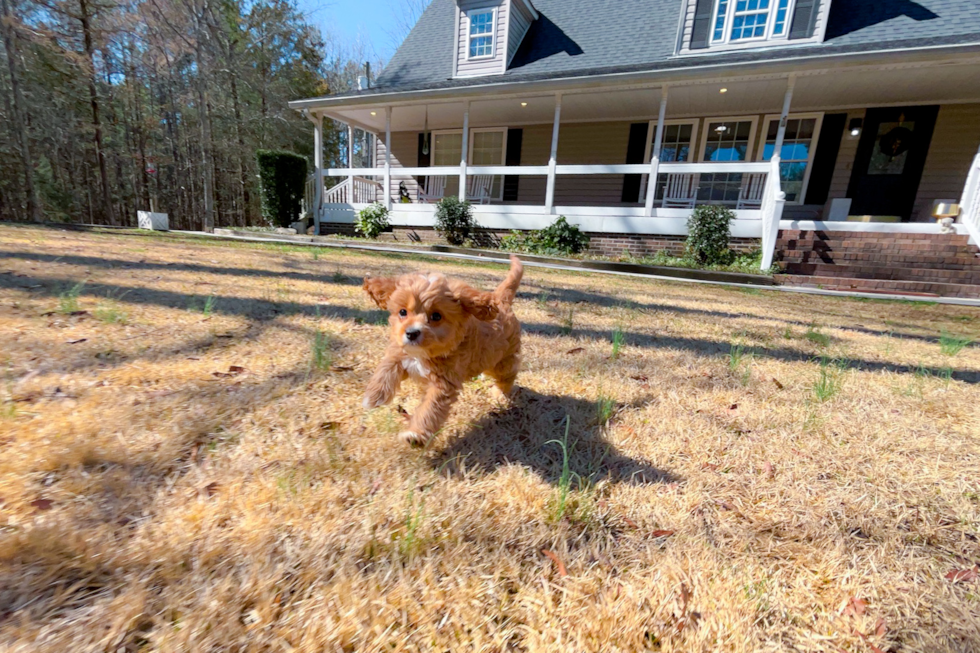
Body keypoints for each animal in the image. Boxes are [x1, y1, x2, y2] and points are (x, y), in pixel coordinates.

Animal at [362, 258, 528, 446]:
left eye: (436, 316)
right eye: (403, 312)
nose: (411, 333)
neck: (424, 354)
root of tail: (502, 301)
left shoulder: (442, 384)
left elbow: (430, 409)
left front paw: (416, 435)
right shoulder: (401, 353)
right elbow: (387, 366)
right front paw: (374, 395)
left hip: (500, 361)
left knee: (507, 375)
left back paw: (500, 393)